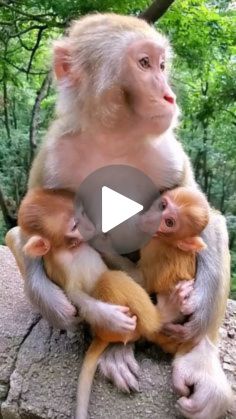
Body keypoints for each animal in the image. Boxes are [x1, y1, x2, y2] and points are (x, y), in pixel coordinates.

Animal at [6, 13, 232, 419]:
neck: (113, 137)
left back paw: (195, 355)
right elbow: (23, 233)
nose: (169, 96)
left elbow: (207, 215)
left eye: (162, 65)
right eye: (143, 64)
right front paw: (53, 304)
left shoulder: (167, 152)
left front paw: (199, 318)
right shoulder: (53, 156)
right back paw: (115, 346)